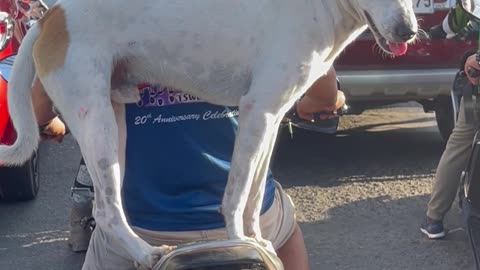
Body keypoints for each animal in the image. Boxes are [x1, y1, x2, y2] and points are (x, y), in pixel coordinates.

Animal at [0, 0, 416, 268]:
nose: (410, 31)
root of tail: (50, 14)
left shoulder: (270, 119)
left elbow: (253, 197)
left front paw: (256, 240)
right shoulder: (256, 112)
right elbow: (235, 197)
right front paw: (238, 242)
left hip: (112, 122)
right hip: (96, 124)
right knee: (105, 210)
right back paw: (145, 253)